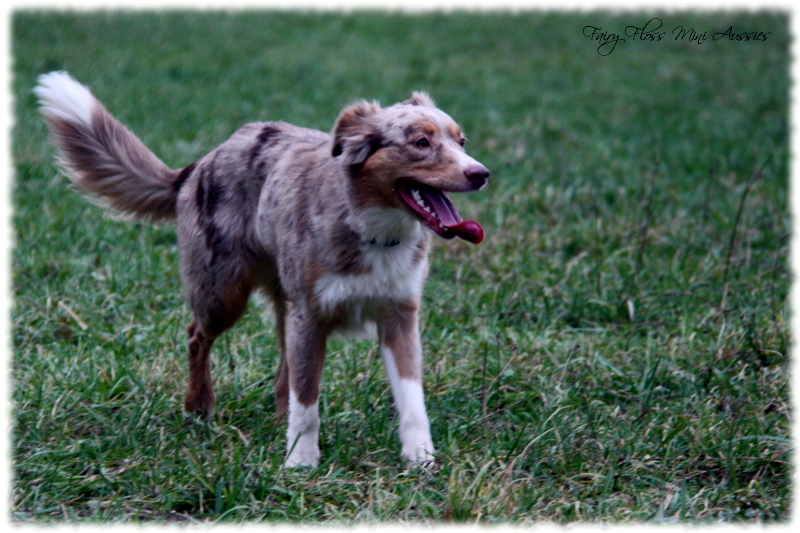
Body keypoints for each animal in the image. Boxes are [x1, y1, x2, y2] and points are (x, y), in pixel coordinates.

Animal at [36, 71, 488, 466]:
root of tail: (202, 161)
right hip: (224, 295)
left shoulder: (398, 316)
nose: (481, 173)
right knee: (197, 336)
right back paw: (199, 406)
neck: (374, 230)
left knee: (282, 369)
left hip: (282, 305)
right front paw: (301, 463)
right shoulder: (311, 316)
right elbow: (308, 402)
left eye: (461, 141)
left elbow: (412, 401)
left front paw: (420, 459)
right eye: (421, 142)